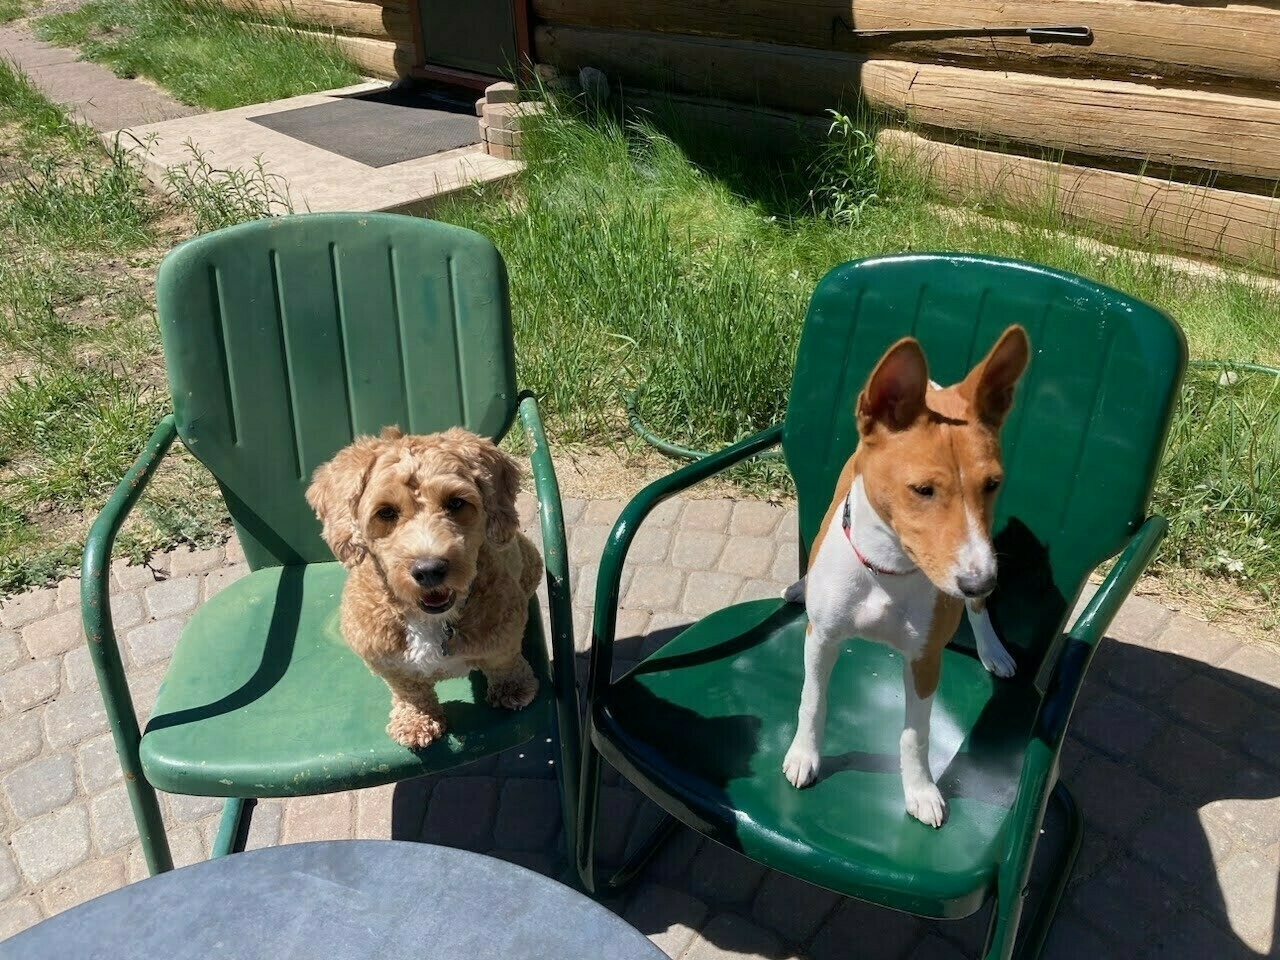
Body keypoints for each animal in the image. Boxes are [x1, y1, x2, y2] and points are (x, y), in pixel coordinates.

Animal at [307, 427, 542, 752]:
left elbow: (504, 663)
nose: (429, 569)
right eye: (386, 512)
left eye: (455, 503)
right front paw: (416, 721)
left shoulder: (503, 635)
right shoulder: (387, 660)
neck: (431, 622)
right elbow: (409, 691)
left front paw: (514, 689)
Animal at [778, 327, 1029, 829]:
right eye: (922, 490)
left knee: (978, 615)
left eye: (992, 484)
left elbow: (916, 735)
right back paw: (800, 585)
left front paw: (920, 791)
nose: (979, 583)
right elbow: (812, 701)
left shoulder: (925, 659)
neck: (887, 571)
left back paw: (992, 648)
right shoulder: (821, 638)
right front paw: (803, 755)